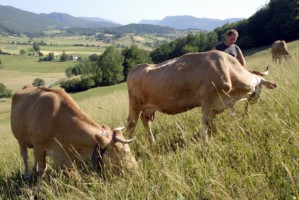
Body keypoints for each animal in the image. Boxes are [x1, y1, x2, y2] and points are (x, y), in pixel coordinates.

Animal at [127, 50, 278, 143]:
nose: (254, 101)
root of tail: (136, 68)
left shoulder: (216, 105)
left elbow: (212, 122)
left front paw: (213, 134)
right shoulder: (207, 99)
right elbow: (205, 121)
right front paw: (204, 140)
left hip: (148, 109)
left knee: (146, 122)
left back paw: (152, 142)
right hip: (134, 105)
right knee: (131, 125)